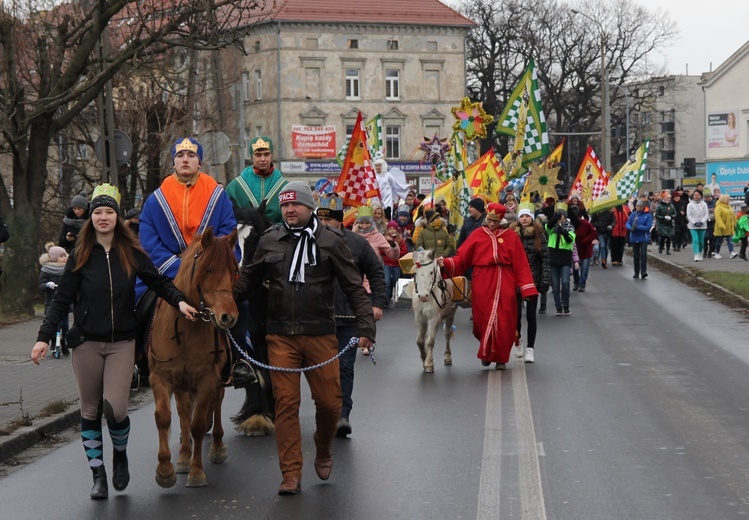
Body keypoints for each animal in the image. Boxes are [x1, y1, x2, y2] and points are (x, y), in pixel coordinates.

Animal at [148, 228, 238, 488]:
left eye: (234, 270)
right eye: (208, 269)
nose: (228, 317)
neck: (186, 329)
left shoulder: (208, 380)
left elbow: (198, 425)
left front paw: (197, 472)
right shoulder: (162, 378)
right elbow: (165, 418)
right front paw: (166, 469)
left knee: (215, 405)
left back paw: (216, 448)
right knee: (183, 413)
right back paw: (183, 457)